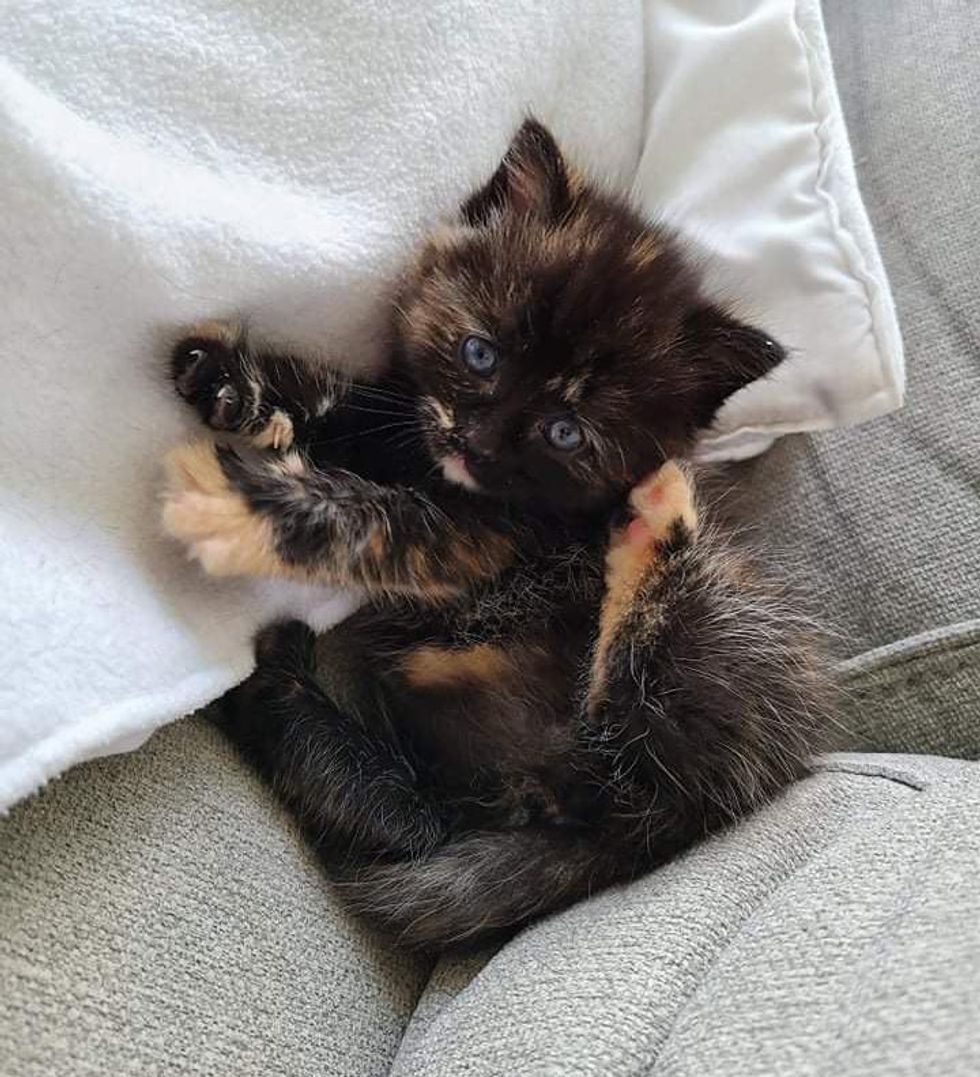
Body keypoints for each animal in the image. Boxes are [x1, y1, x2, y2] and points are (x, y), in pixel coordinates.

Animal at [161, 120, 827, 952]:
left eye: (566, 430)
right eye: (480, 352)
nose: (474, 440)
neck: (448, 477)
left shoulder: (480, 541)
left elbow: (374, 521)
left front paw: (237, 504)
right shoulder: (404, 427)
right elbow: (346, 407)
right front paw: (234, 381)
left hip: (731, 645)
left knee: (628, 703)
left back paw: (658, 514)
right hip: (462, 790)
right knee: (415, 818)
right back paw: (277, 687)